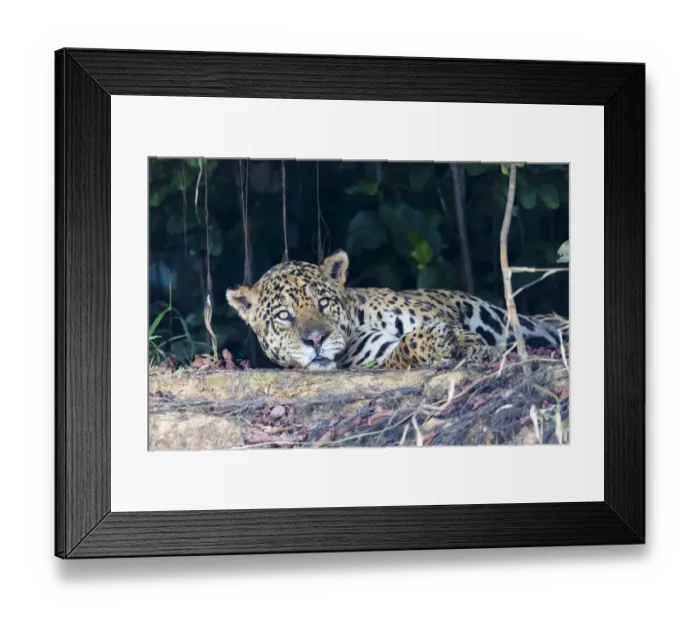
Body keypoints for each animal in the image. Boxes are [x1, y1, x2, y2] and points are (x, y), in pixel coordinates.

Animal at [225, 249, 565, 371]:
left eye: (323, 303)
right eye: (284, 315)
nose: (315, 340)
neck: (359, 320)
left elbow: (459, 331)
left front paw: (469, 345)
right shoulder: (376, 354)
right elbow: (406, 347)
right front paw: (435, 344)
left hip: (503, 317)